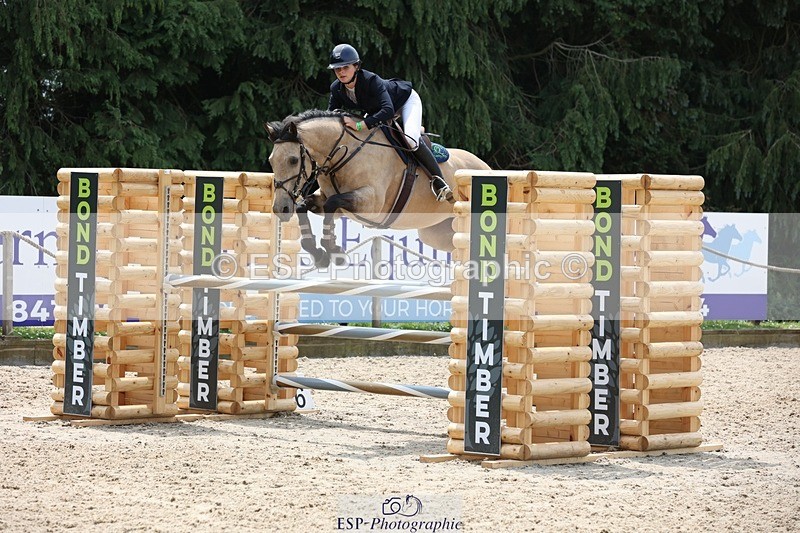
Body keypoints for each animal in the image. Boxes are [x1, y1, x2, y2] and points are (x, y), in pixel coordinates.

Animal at [265, 109, 491, 268]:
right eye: (271, 161)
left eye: (293, 160)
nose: (280, 209)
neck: (345, 153)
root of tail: (486, 167)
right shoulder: (336, 205)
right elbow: (305, 207)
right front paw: (319, 255)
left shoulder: (372, 204)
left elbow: (332, 203)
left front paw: (335, 252)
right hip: (437, 233)